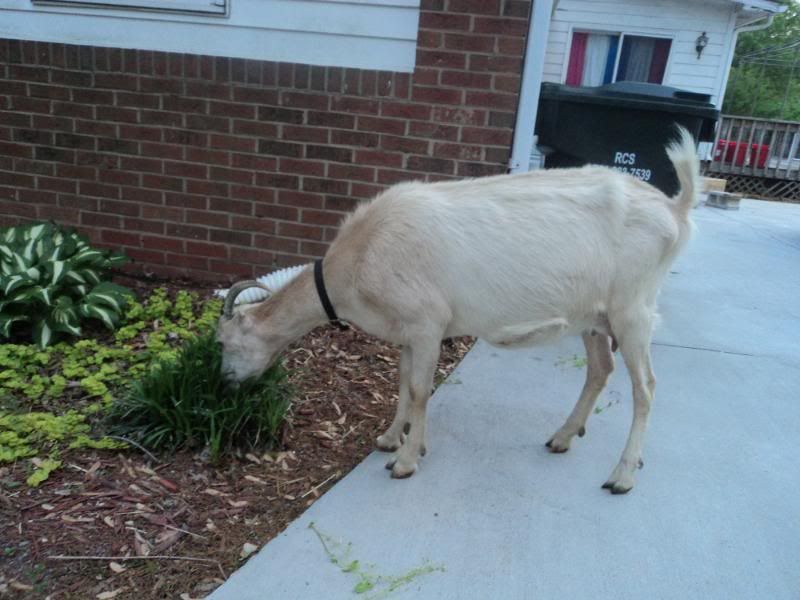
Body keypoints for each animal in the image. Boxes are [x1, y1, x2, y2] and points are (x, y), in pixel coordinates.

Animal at [217, 127, 699, 494]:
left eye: (224, 342)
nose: (225, 383)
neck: (360, 256)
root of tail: (675, 209)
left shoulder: (427, 323)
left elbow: (418, 390)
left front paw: (406, 461)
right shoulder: (408, 330)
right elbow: (401, 382)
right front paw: (391, 439)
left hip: (633, 309)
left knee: (646, 388)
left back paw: (622, 475)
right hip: (595, 317)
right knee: (600, 370)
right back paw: (563, 437)